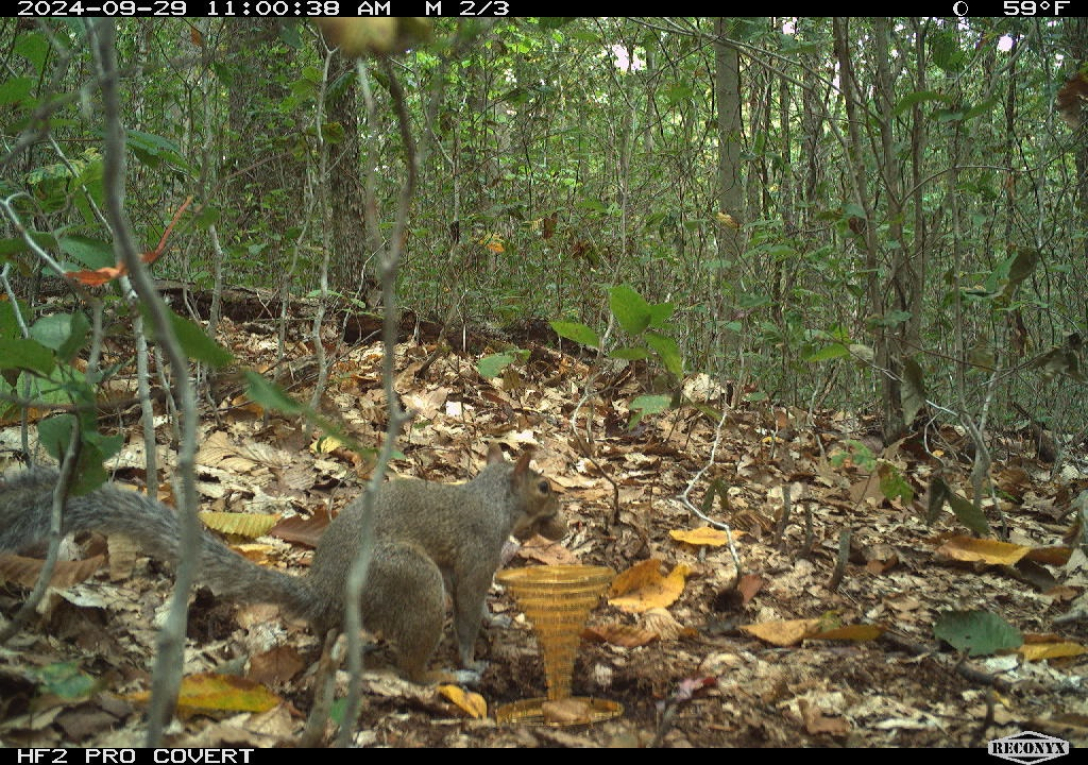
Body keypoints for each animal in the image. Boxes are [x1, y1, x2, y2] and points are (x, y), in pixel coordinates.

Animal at [0, 446, 561, 683]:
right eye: (544, 486)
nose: (562, 513)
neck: (491, 500)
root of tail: (326, 594)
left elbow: (475, 602)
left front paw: (497, 620)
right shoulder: (476, 552)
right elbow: (465, 605)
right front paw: (470, 654)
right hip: (410, 581)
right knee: (411, 669)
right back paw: (448, 676)